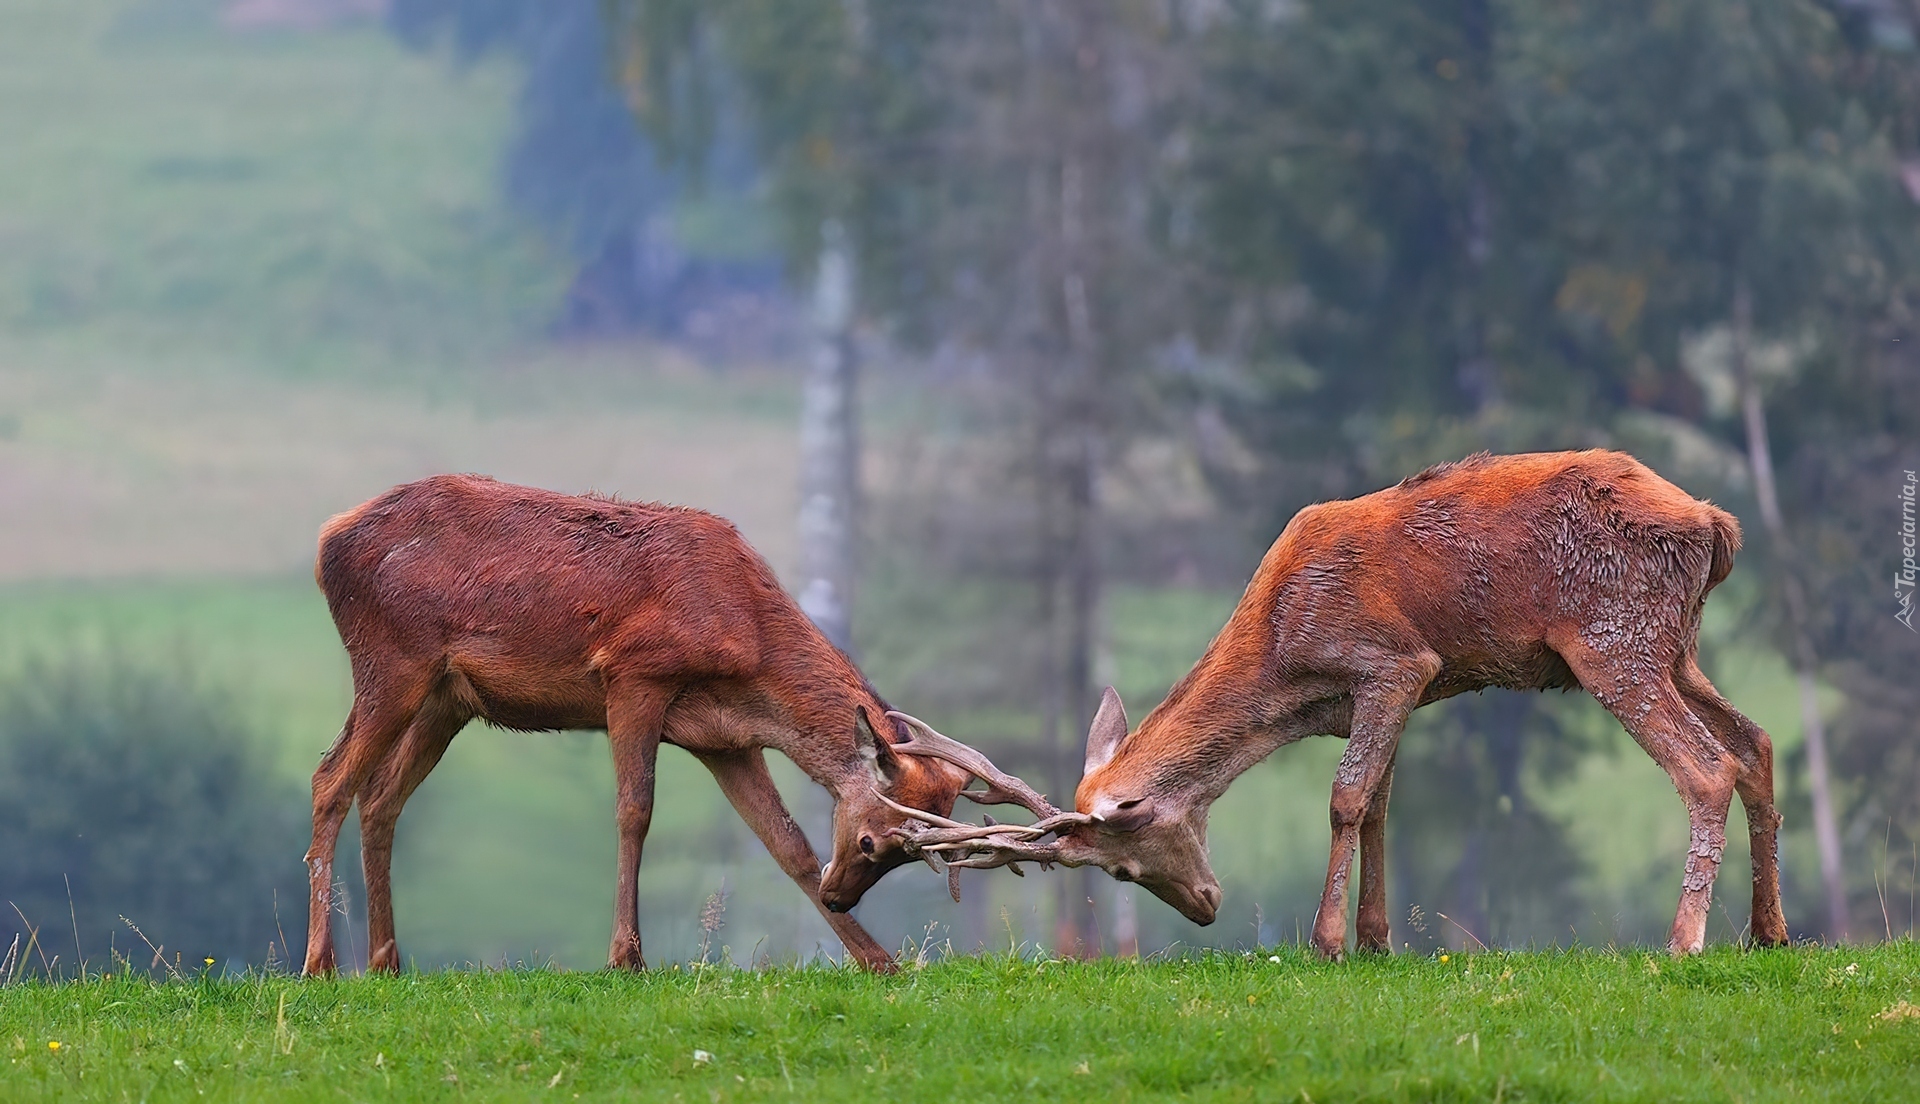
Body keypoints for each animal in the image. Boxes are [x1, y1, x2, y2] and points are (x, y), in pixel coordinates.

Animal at [301, 476, 1052, 975]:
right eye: (872, 840)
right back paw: (321, 963)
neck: (746, 641)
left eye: (902, 854)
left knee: (381, 797)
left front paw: (880, 961)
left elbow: (788, 845)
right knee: (330, 779)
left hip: (445, 700)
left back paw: (387, 961)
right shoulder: (635, 675)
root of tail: (328, 537)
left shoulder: (726, 741)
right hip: (391, 661)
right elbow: (635, 811)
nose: (839, 899)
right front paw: (626, 957)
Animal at [906, 449, 1789, 960]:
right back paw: (1769, 931)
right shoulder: (1396, 691)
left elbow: (1344, 798)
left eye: (1122, 865)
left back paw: (1685, 941)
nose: (1206, 908)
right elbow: (1380, 808)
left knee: (1706, 766)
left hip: (1614, 639)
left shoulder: (1393, 662)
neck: (1285, 666)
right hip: (1678, 646)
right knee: (1758, 742)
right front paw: (1375, 939)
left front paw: (1328, 942)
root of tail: (1717, 524)